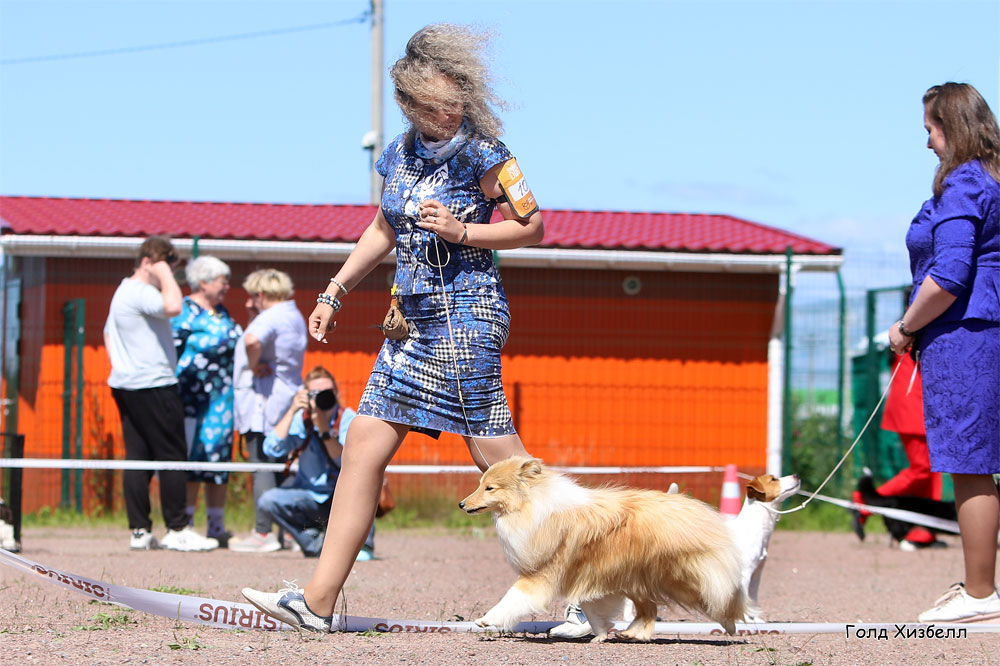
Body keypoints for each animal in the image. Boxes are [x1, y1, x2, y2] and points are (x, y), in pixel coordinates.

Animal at [724, 470, 800, 620]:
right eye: (773, 479)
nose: (797, 475)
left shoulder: (757, 573)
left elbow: (753, 598)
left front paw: (755, 619)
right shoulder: (745, 574)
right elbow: (744, 600)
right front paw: (745, 620)